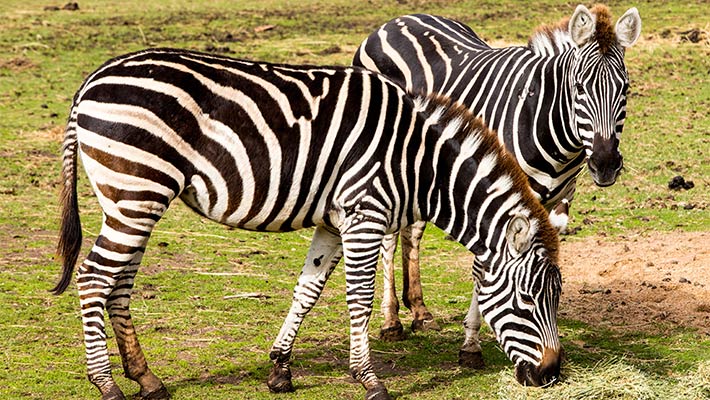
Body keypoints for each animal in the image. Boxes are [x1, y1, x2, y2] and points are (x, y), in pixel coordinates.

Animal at [52, 47, 564, 400]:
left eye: (556, 299)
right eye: (527, 300)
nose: (551, 374)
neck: (419, 163)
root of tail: (91, 81)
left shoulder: (333, 222)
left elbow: (308, 289)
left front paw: (280, 369)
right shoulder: (364, 216)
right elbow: (358, 299)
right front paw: (369, 380)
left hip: (130, 199)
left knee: (118, 284)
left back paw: (146, 378)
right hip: (137, 191)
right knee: (94, 278)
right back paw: (107, 385)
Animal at [354, 3, 644, 364]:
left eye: (625, 89)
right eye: (579, 88)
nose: (605, 164)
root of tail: (396, 20)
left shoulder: (557, 203)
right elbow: (483, 267)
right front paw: (471, 344)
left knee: (413, 232)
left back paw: (419, 310)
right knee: (389, 240)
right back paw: (391, 320)